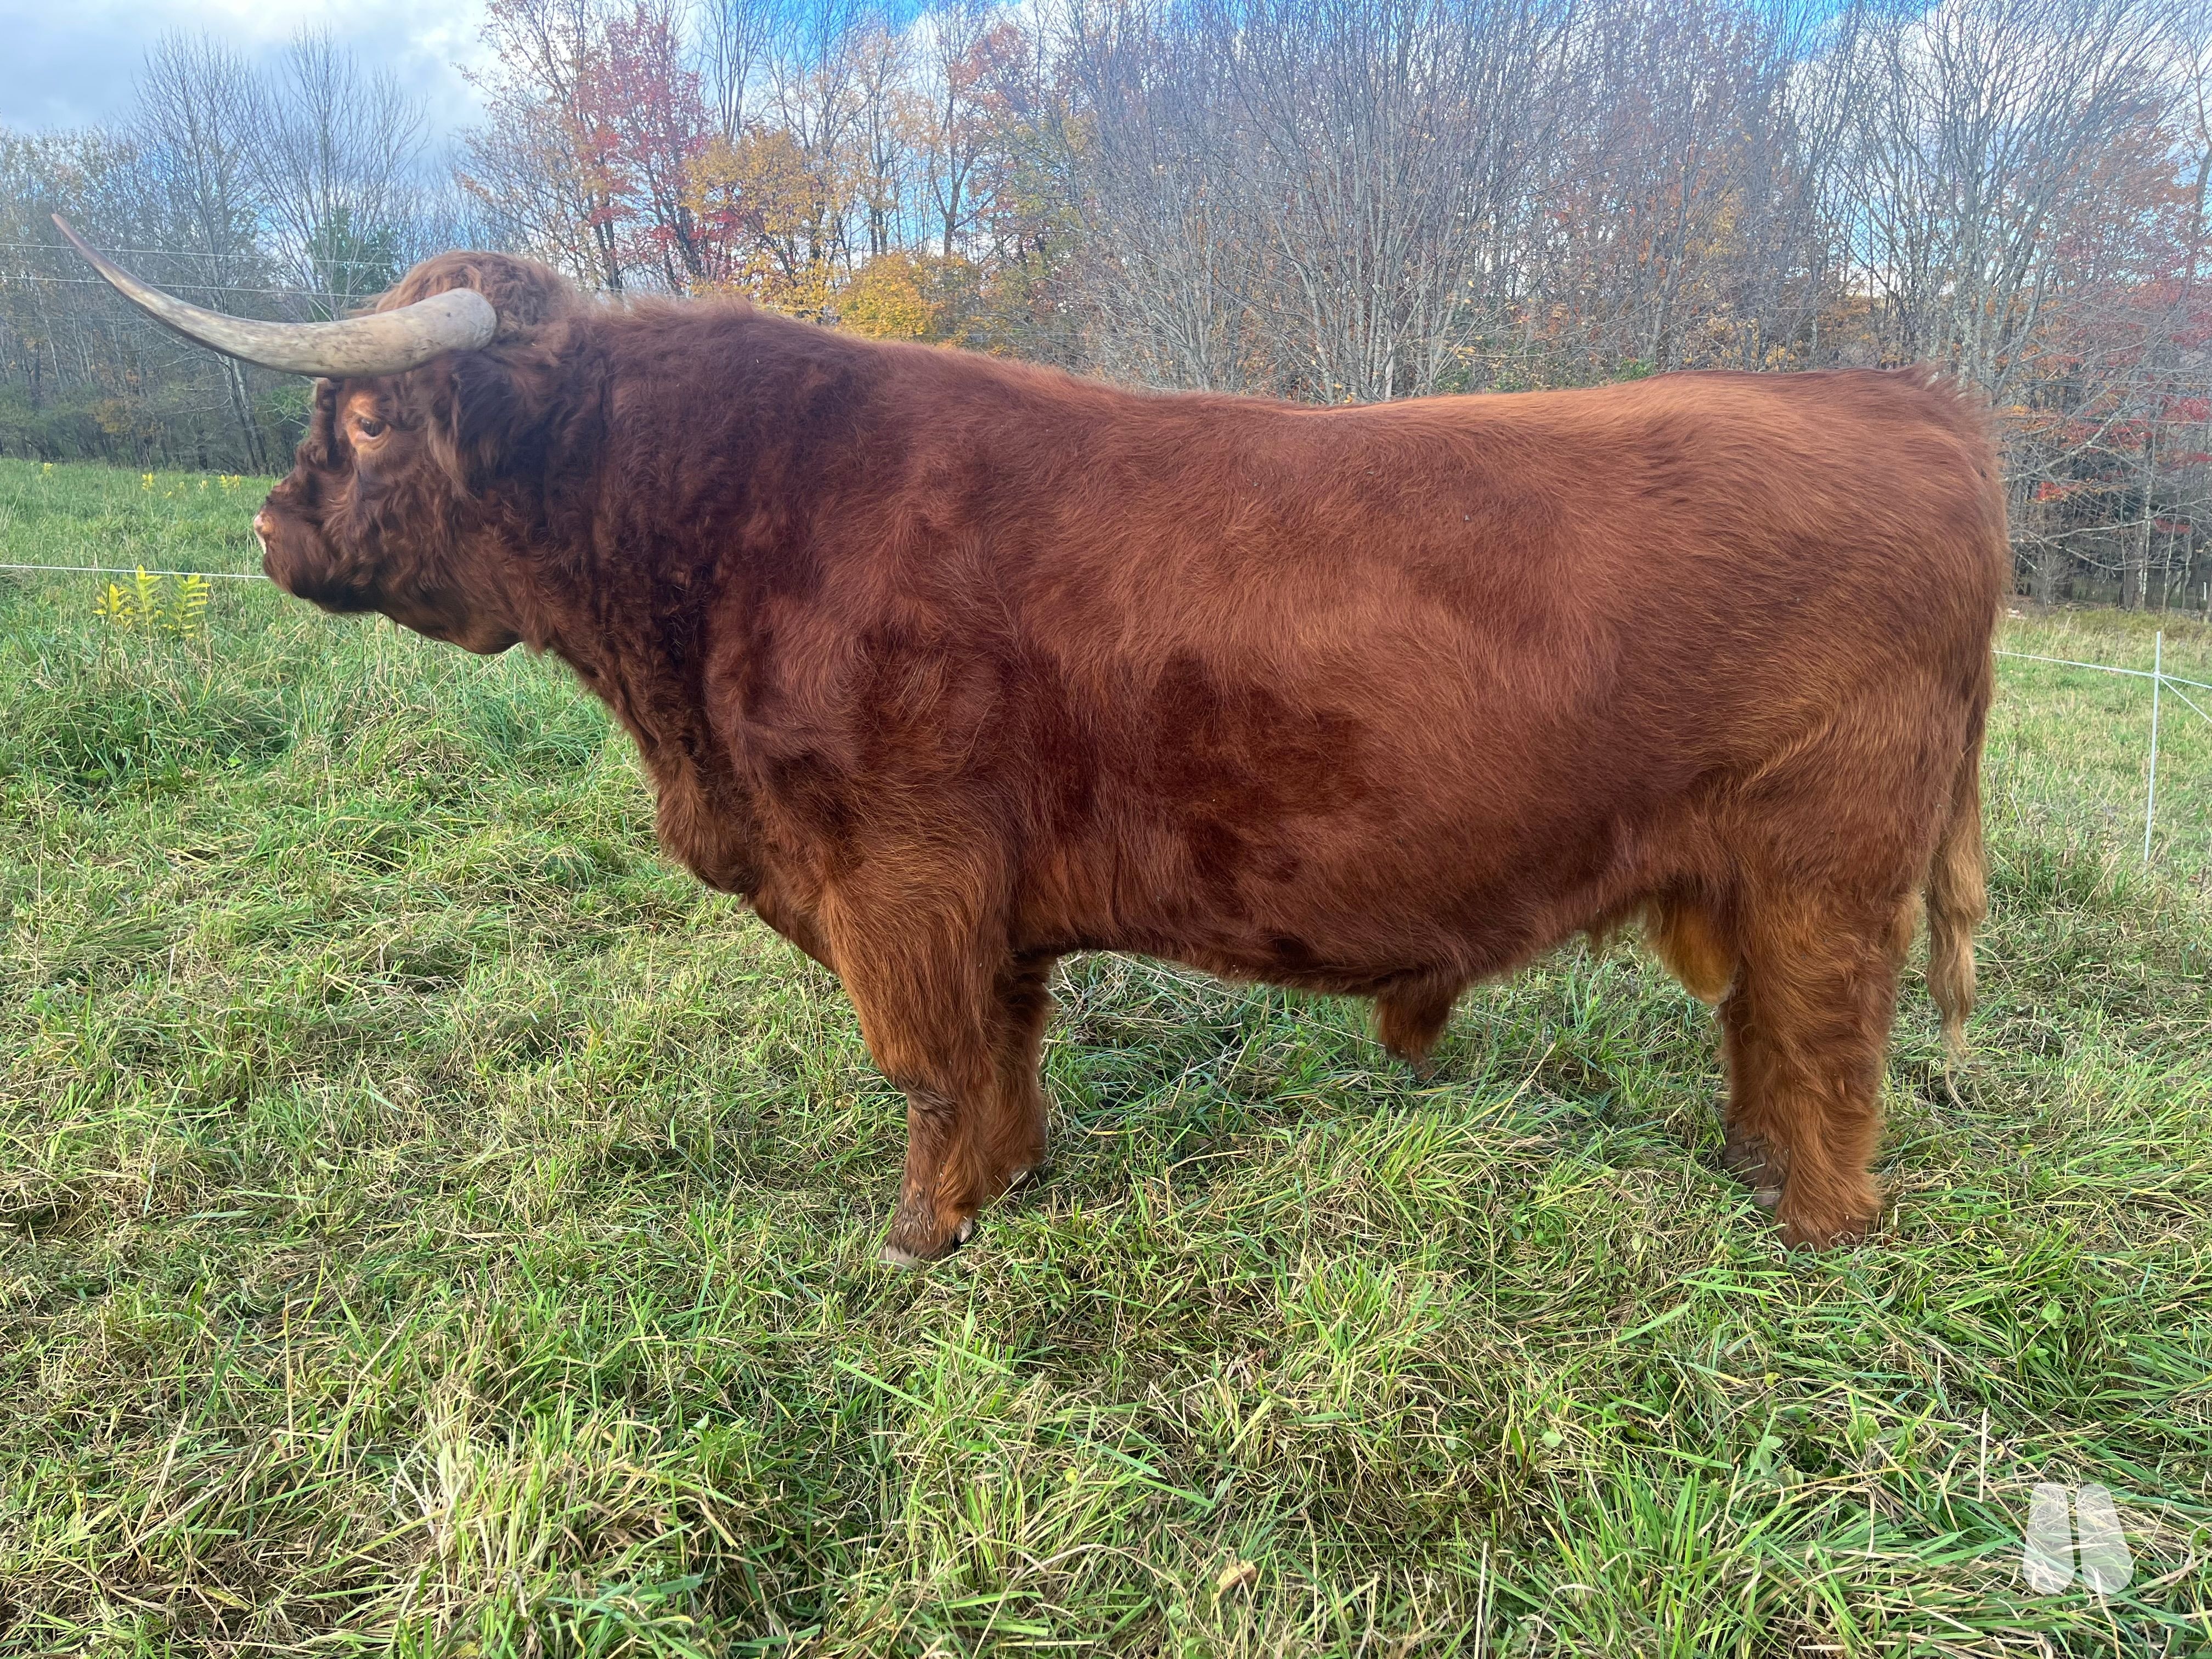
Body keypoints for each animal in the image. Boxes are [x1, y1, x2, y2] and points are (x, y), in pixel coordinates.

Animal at [60, 217, 2005, 1263]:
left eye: (365, 416)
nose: (265, 530)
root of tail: (1908, 404)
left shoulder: (897, 870)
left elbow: (925, 1063)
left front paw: (918, 1235)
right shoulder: (970, 897)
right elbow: (995, 1056)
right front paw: (1008, 1188)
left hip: (1831, 862)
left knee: (1832, 1038)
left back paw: (1818, 1228)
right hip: (1759, 872)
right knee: (1769, 1034)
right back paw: (1751, 1172)